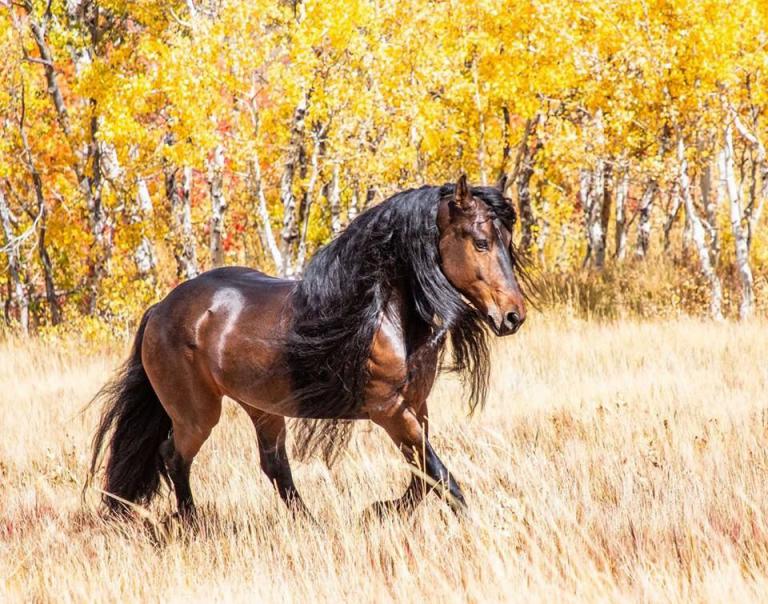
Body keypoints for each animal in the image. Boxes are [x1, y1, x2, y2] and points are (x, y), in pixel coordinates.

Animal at [86, 175, 528, 520]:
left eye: (507, 241)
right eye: (480, 242)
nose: (513, 316)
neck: (382, 314)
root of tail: (160, 309)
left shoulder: (416, 407)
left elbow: (423, 476)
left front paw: (378, 510)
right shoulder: (388, 411)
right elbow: (441, 477)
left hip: (262, 408)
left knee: (274, 466)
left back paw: (308, 525)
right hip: (197, 414)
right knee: (174, 456)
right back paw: (192, 523)